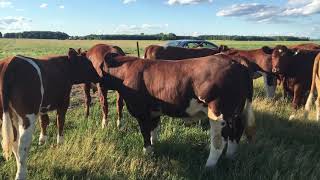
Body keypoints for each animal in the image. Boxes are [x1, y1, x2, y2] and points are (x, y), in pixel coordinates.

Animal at [0, 48, 100, 180]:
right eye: (88, 63)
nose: (99, 76)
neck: (65, 67)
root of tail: (9, 63)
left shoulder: (42, 108)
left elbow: (44, 121)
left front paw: (42, 140)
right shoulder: (64, 102)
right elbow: (60, 121)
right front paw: (60, 142)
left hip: (7, 115)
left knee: (15, 142)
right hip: (28, 116)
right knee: (22, 145)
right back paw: (21, 174)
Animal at [99, 52, 255, 168]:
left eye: (100, 68)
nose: (99, 87)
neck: (126, 72)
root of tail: (234, 59)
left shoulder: (141, 112)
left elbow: (145, 132)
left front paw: (147, 152)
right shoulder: (154, 111)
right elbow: (154, 130)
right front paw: (155, 145)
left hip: (219, 114)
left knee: (219, 142)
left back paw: (208, 166)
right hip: (236, 113)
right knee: (236, 132)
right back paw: (230, 157)